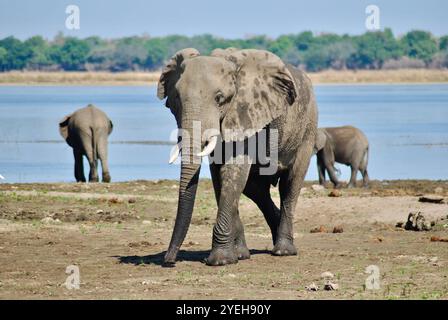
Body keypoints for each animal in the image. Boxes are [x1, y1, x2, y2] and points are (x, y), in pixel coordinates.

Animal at [158, 48, 318, 268]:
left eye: (219, 98)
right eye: (176, 98)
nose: (169, 259)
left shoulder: (245, 113)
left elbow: (233, 172)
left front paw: (220, 261)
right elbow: (220, 177)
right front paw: (239, 256)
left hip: (307, 130)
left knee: (291, 184)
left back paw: (283, 251)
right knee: (256, 189)